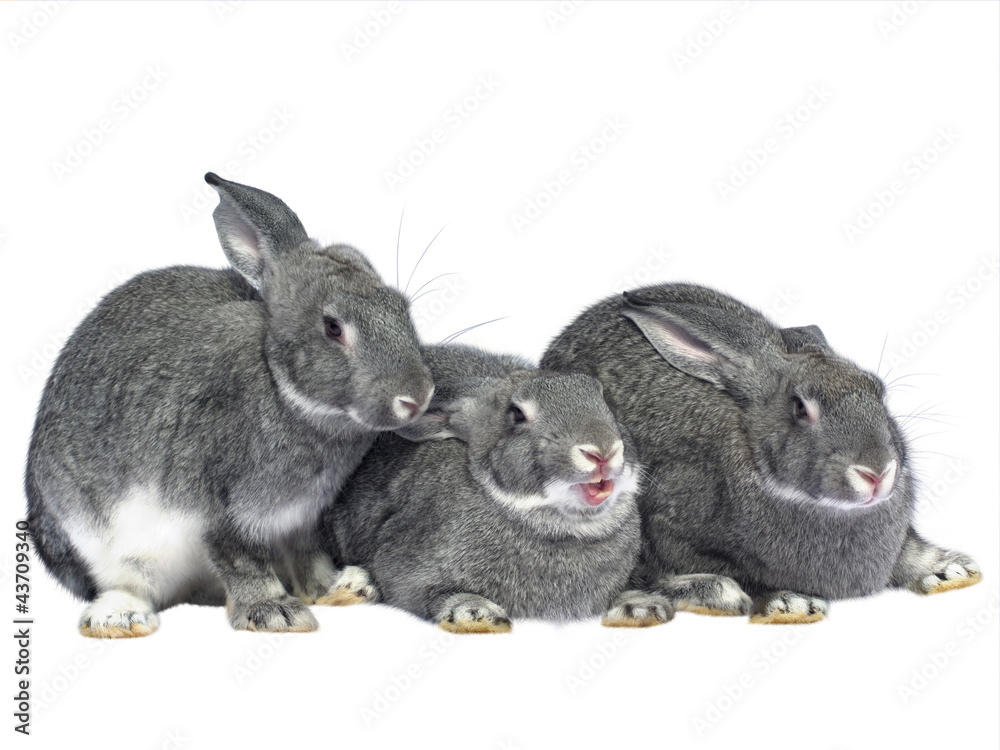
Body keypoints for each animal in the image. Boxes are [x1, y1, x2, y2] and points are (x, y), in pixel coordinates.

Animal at [25, 172, 434, 637]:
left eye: (401, 307)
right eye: (333, 328)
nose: (417, 398)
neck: (282, 387)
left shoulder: (302, 518)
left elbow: (308, 556)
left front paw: (337, 588)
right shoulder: (217, 508)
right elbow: (241, 560)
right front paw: (277, 613)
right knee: (128, 583)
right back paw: (120, 618)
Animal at [324, 343, 674, 633]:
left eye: (604, 401)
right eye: (517, 414)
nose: (603, 451)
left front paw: (641, 608)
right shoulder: (406, 569)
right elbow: (424, 593)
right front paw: (475, 614)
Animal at [540, 282, 981, 624]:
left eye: (878, 390)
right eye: (800, 408)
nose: (877, 473)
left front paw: (953, 570)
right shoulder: (664, 519)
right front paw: (788, 602)